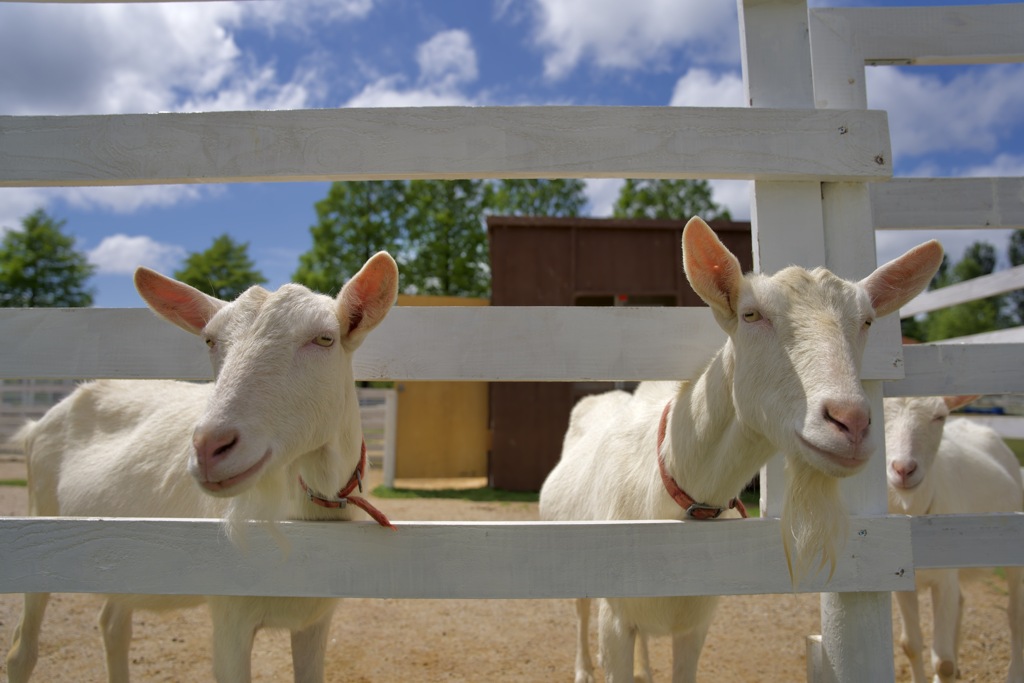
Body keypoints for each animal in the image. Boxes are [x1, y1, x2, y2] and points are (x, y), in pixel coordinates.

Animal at [7, 250, 399, 683]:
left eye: (325, 338)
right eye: (210, 341)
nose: (210, 447)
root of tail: (38, 424)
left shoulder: (314, 618)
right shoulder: (230, 613)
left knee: (113, 623)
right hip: (39, 528)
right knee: (22, 650)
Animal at [540, 218, 937, 683]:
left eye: (868, 321)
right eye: (751, 314)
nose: (851, 422)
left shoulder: (695, 622)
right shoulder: (615, 618)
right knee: (580, 612)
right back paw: (584, 668)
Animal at [884, 395, 1019, 683]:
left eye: (939, 417)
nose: (903, 468)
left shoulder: (944, 579)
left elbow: (942, 662)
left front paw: (947, 667)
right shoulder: (903, 584)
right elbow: (911, 645)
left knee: (1015, 614)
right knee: (961, 601)